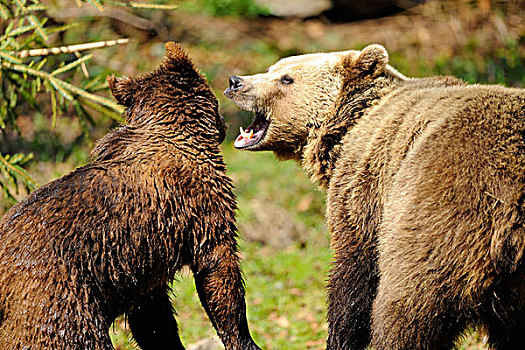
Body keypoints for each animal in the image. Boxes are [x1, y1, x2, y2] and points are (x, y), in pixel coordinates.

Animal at [0, 43, 260, 350]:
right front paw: (243, 339)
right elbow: (218, 273)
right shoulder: (204, 211)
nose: (224, 124)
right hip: (58, 303)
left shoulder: (146, 257)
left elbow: (152, 316)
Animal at [224, 44, 524, 350]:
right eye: (273, 68)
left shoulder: (365, 183)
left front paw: (338, 337)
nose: (236, 82)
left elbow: (353, 273)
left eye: (287, 78)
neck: (345, 126)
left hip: (445, 206)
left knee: (408, 305)